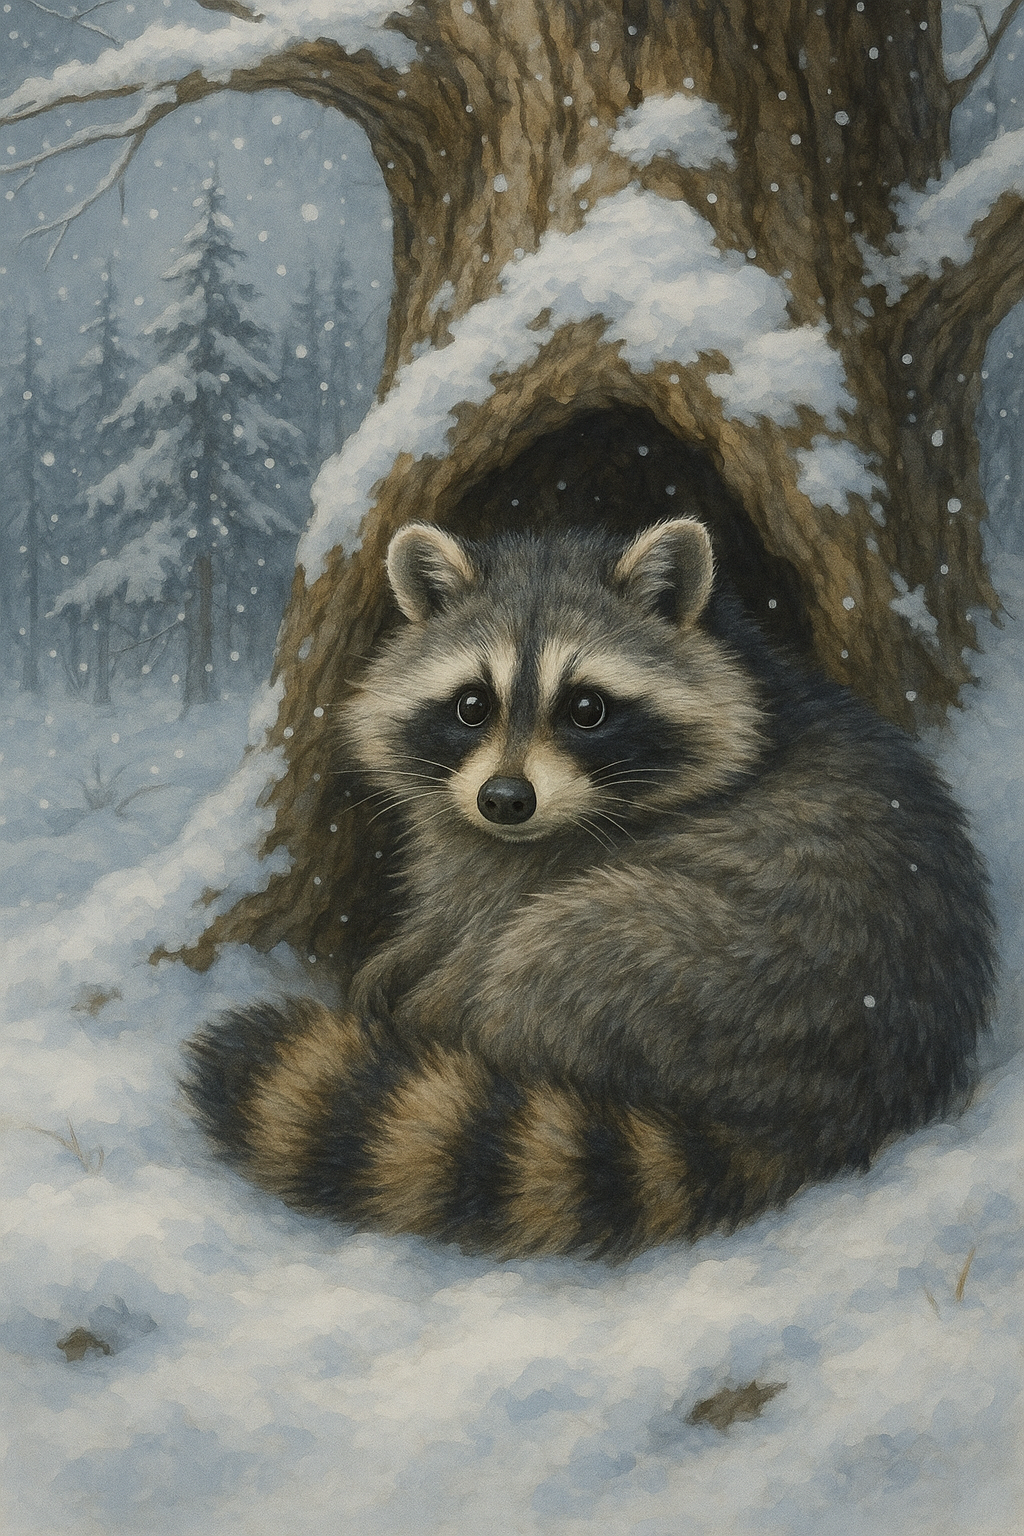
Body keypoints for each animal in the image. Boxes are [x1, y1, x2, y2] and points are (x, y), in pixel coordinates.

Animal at [185, 518, 995, 1259]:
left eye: (586, 709)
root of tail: (831, 1113)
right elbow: (450, 905)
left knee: (548, 952)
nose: (505, 800)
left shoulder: (563, 859)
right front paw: (397, 957)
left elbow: (486, 939)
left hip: (707, 968)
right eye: (472, 704)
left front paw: (424, 997)